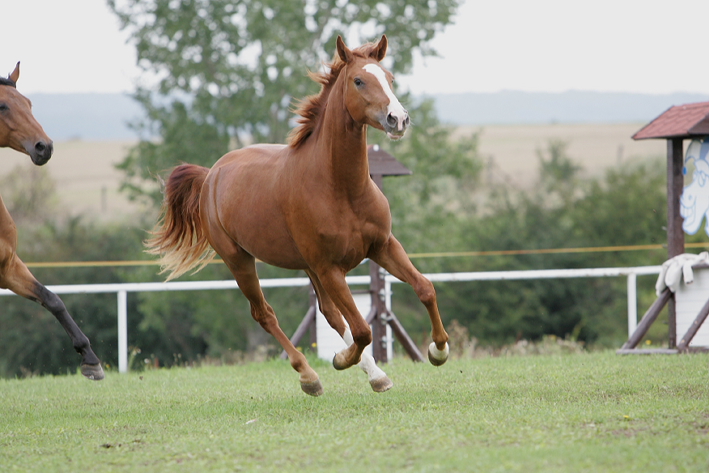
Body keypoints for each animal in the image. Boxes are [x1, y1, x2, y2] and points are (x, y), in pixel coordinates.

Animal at [0, 62, 104, 380]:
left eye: (29, 104)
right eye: (2, 105)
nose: (43, 146)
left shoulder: (8, 266)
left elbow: (52, 299)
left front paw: (90, 358)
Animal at [147, 36, 449, 396]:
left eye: (389, 78)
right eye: (358, 81)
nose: (397, 119)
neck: (341, 188)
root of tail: (210, 175)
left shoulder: (382, 246)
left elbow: (424, 288)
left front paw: (438, 351)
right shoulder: (330, 268)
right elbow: (362, 329)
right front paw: (341, 360)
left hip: (306, 265)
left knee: (330, 314)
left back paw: (375, 375)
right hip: (240, 260)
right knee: (265, 314)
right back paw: (310, 376)